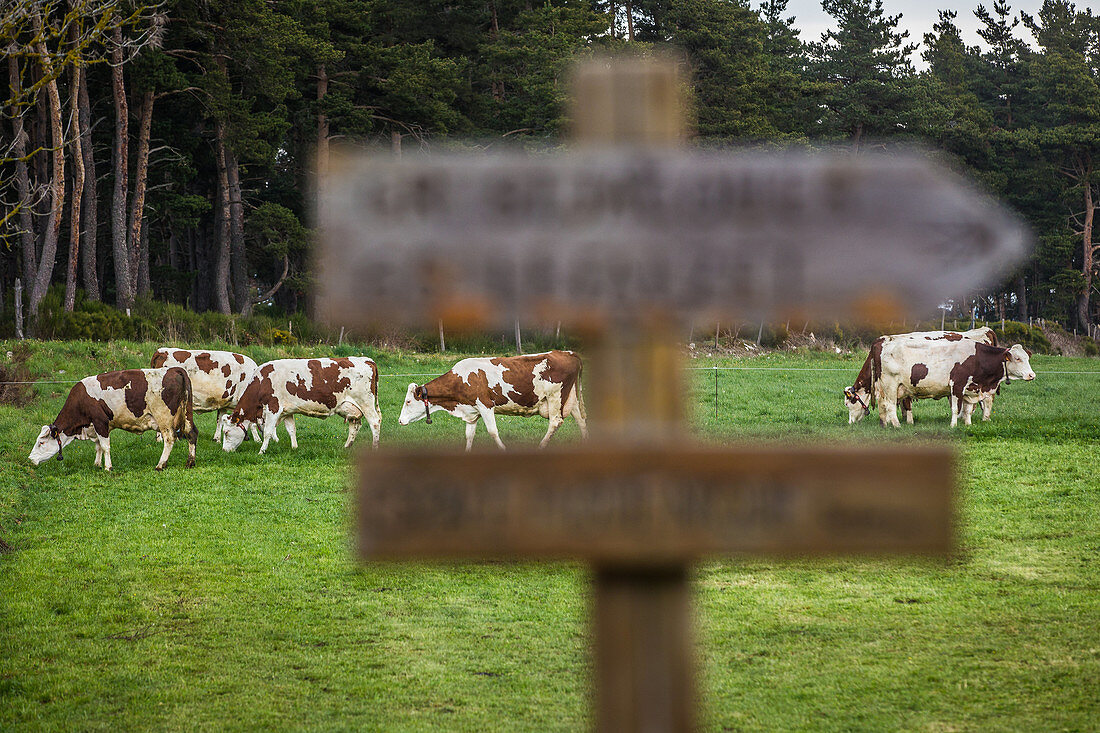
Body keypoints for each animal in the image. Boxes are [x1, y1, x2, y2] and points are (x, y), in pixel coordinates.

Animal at [29, 367, 198, 471]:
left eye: (41, 443)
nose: (30, 459)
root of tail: (173, 369)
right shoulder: (95, 426)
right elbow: (98, 445)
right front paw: (97, 464)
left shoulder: (100, 422)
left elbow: (105, 446)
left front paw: (107, 467)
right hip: (187, 414)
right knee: (192, 433)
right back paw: (190, 462)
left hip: (164, 418)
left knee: (170, 438)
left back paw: (160, 465)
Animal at [218, 354, 382, 451]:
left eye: (226, 432)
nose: (225, 451)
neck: (263, 382)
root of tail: (367, 359)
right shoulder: (287, 410)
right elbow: (291, 429)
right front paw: (294, 447)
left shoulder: (273, 407)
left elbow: (268, 432)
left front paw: (262, 451)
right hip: (351, 407)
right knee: (355, 425)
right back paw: (347, 446)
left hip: (366, 402)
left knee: (375, 422)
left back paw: (375, 447)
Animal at [396, 347, 585, 449]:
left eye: (408, 401)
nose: (399, 421)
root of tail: (568, 353)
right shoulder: (472, 412)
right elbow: (469, 435)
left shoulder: (485, 405)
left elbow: (493, 432)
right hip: (572, 398)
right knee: (581, 420)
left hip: (555, 397)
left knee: (555, 422)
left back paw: (541, 446)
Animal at [840, 325, 998, 422]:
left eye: (848, 404)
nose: (850, 423)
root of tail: (985, 329)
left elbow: (905, 404)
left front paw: (908, 421)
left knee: (988, 400)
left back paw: (985, 419)